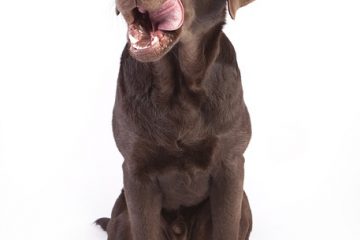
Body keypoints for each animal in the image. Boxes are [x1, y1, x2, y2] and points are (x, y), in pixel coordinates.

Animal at [95, 0, 253, 239]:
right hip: (122, 214)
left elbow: (226, 227)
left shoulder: (230, 166)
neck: (179, 91)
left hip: (243, 204)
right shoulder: (137, 174)